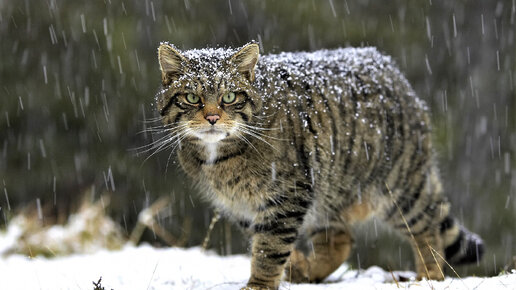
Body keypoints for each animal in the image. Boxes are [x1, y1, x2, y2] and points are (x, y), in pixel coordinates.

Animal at [154, 42, 484, 288]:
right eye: (191, 97)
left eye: (229, 96)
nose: (212, 117)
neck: (219, 158)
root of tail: (391, 68)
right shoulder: (241, 206)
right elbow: (266, 243)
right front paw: (293, 266)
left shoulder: (287, 193)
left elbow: (269, 248)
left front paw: (260, 283)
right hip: (327, 193)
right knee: (340, 240)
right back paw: (308, 270)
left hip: (399, 187)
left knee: (428, 229)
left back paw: (428, 276)